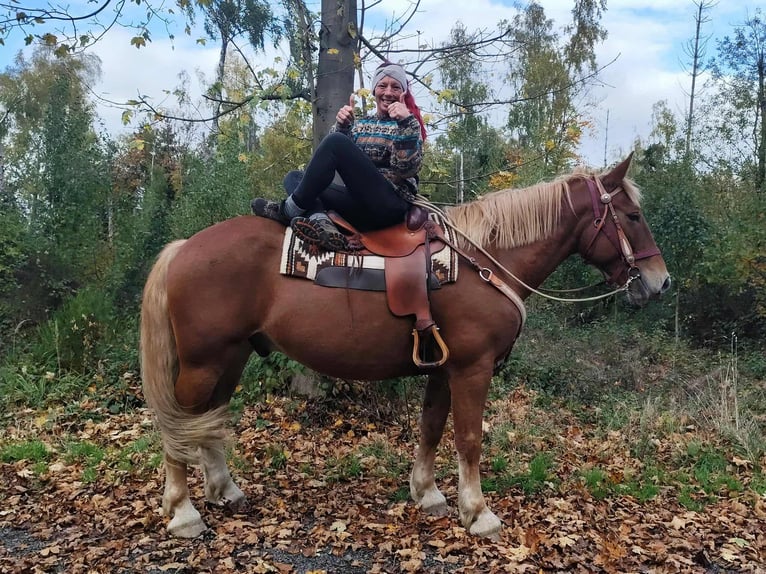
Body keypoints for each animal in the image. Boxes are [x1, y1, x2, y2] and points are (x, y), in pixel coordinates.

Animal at [140, 154, 671, 539]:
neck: (483, 260)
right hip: (204, 362)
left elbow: (431, 429)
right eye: (632, 215)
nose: (660, 282)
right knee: (179, 428)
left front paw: (428, 494)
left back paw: (224, 490)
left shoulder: (443, 370)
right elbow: (469, 439)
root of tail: (184, 247)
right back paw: (184, 513)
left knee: (209, 422)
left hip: (231, 357)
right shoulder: (473, 369)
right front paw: (478, 513)